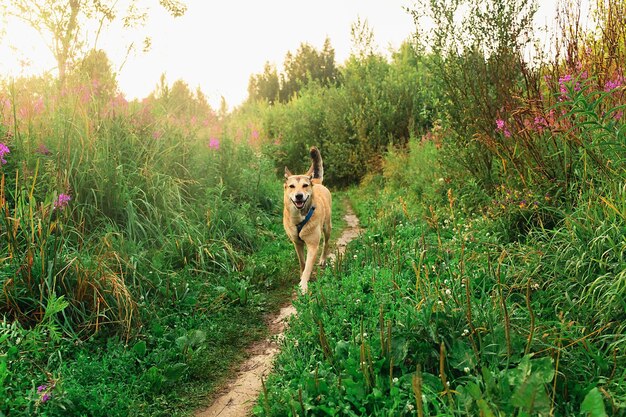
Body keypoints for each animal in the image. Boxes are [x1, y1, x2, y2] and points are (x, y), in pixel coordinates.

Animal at [282, 146, 332, 292]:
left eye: (305, 185)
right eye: (292, 186)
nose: (299, 196)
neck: (299, 218)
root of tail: (315, 181)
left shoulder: (312, 245)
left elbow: (309, 266)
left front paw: (303, 285)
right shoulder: (297, 243)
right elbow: (302, 262)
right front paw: (302, 275)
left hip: (327, 227)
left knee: (326, 243)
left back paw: (323, 259)